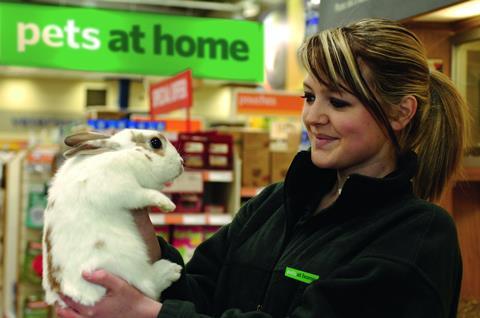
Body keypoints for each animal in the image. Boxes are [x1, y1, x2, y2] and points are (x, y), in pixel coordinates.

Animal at [42, 128, 184, 306]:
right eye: (155, 142)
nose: (182, 163)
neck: (121, 154)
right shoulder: (121, 188)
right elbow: (143, 194)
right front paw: (167, 204)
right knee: (149, 285)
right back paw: (171, 270)